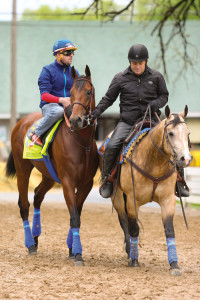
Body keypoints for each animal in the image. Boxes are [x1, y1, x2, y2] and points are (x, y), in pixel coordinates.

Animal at [5, 65, 97, 264]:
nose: (77, 120)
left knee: (38, 195)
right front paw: (77, 254)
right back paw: (30, 244)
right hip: (23, 169)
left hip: (49, 175)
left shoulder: (86, 184)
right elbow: (74, 216)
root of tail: (20, 122)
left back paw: (35, 238)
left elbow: (76, 213)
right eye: (71, 93)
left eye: (88, 91)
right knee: (24, 205)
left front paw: (71, 249)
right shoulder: (68, 181)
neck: (81, 142)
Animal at [111, 106, 192, 276]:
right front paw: (135, 260)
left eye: (188, 133)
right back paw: (129, 252)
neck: (154, 163)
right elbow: (134, 229)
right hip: (119, 199)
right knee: (124, 222)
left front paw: (174, 265)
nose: (186, 159)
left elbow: (169, 230)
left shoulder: (168, 200)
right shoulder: (132, 200)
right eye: (170, 133)